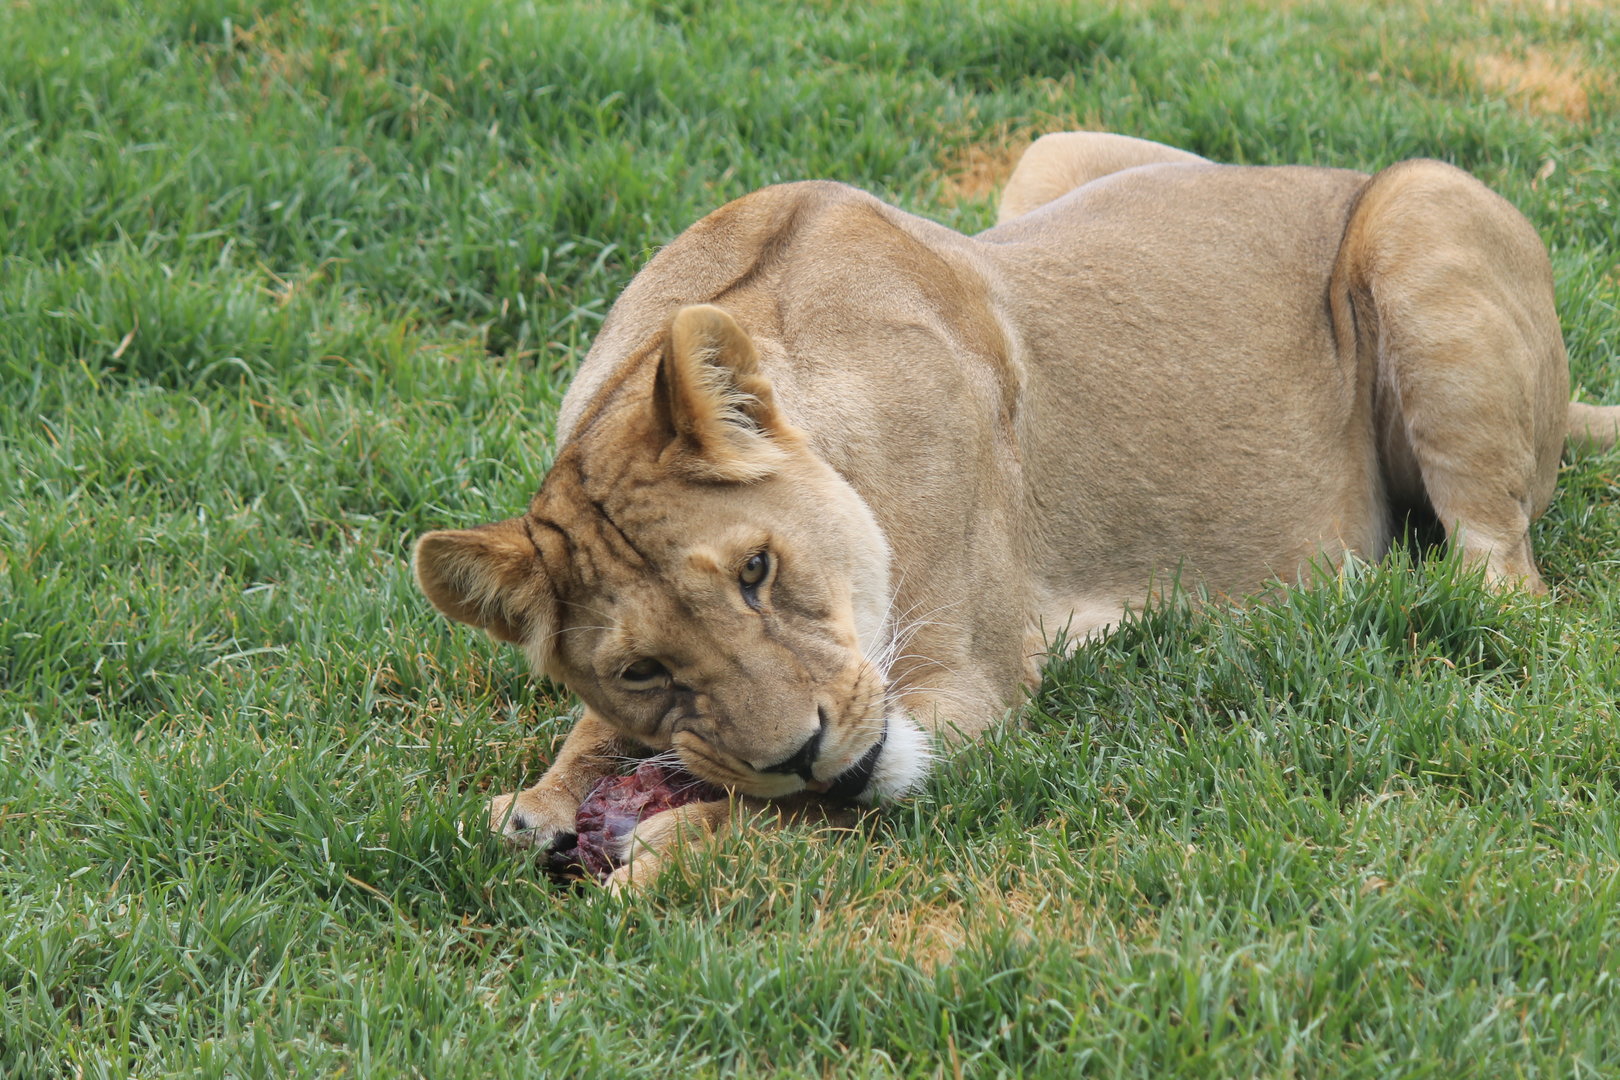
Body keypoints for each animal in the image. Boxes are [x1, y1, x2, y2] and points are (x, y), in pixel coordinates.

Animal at [414, 132, 1620, 892]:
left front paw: (678, 843)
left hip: (1422, 209)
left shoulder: (969, 682)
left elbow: (801, 804)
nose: (800, 749)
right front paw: (541, 801)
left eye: (757, 570)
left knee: (1502, 586)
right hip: (1052, 156)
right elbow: (595, 745)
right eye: (640, 670)